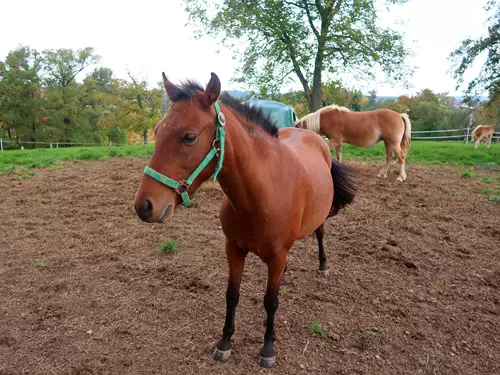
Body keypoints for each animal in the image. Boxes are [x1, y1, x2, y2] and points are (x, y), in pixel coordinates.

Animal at [135, 72, 358, 368]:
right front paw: (225, 342)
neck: (260, 195)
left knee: (320, 233)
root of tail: (312, 135)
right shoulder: (234, 249)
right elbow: (232, 295)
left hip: (319, 217)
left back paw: (323, 265)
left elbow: (270, 302)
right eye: (158, 131)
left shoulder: (276, 256)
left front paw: (267, 349)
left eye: (189, 137)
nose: (144, 205)